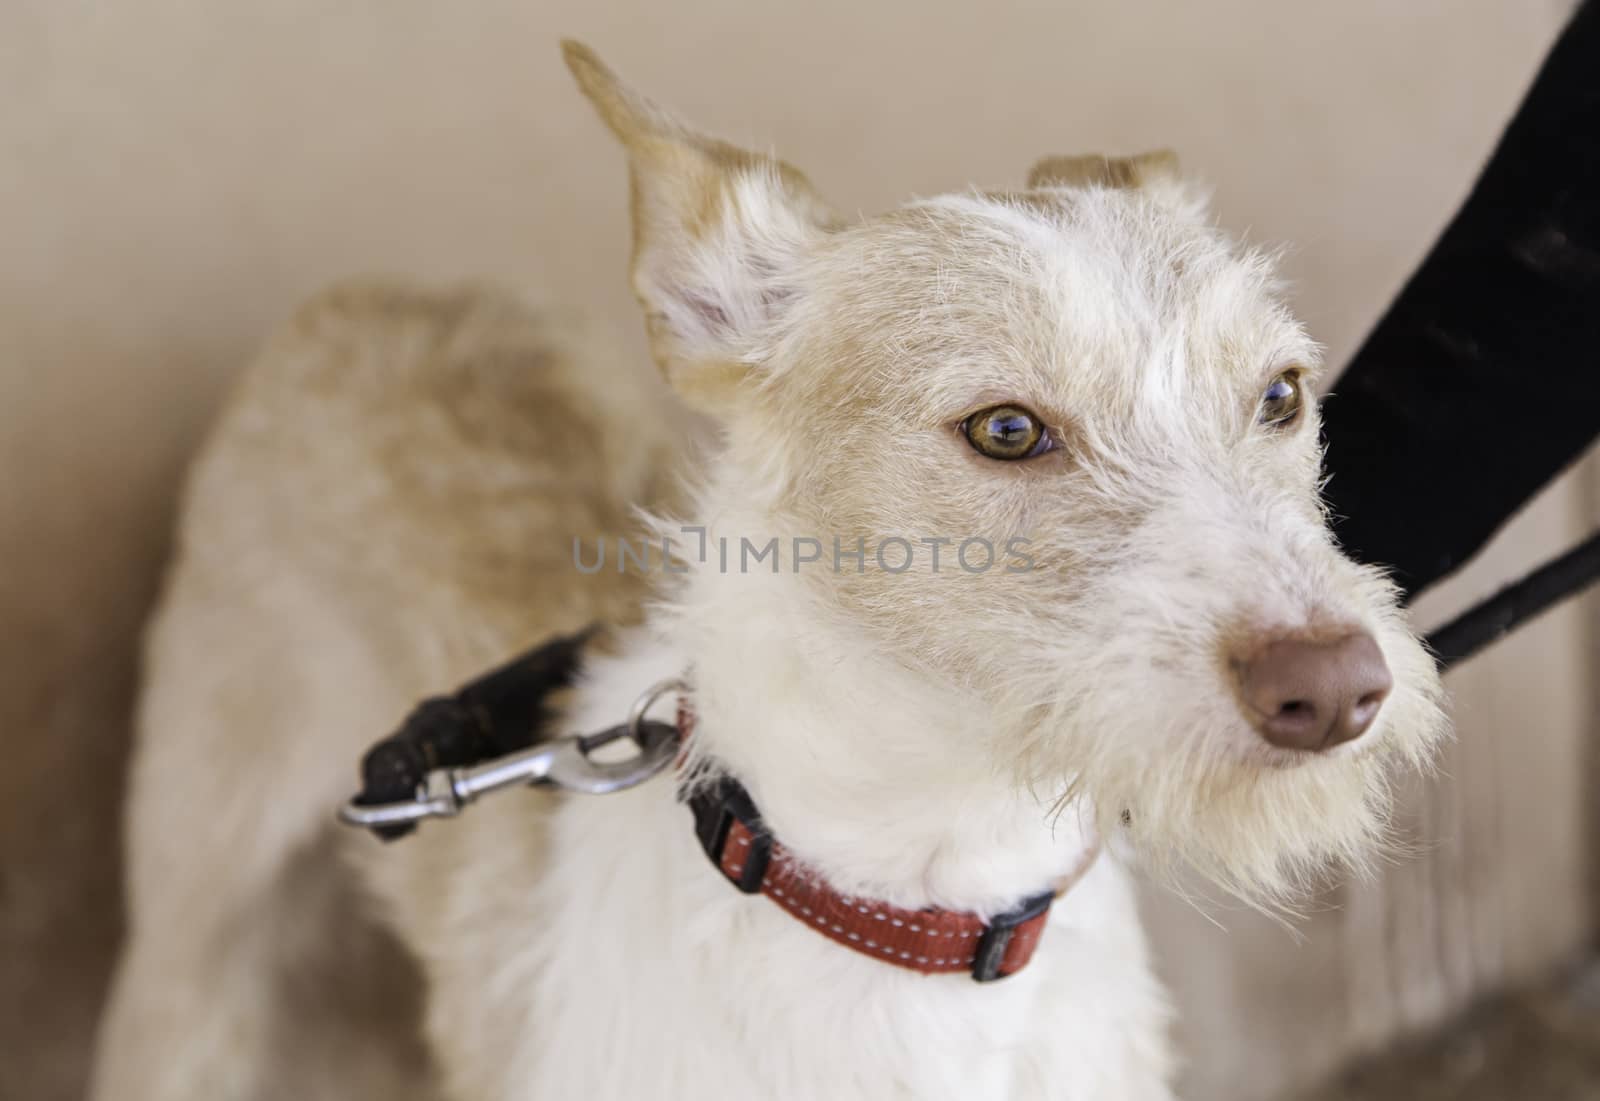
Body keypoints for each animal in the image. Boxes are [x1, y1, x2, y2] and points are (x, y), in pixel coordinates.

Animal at [96, 43, 1452, 1101]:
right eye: (1007, 429)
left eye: (1279, 395)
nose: (1335, 687)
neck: (918, 908)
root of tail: (375, 286)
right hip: (191, 948)